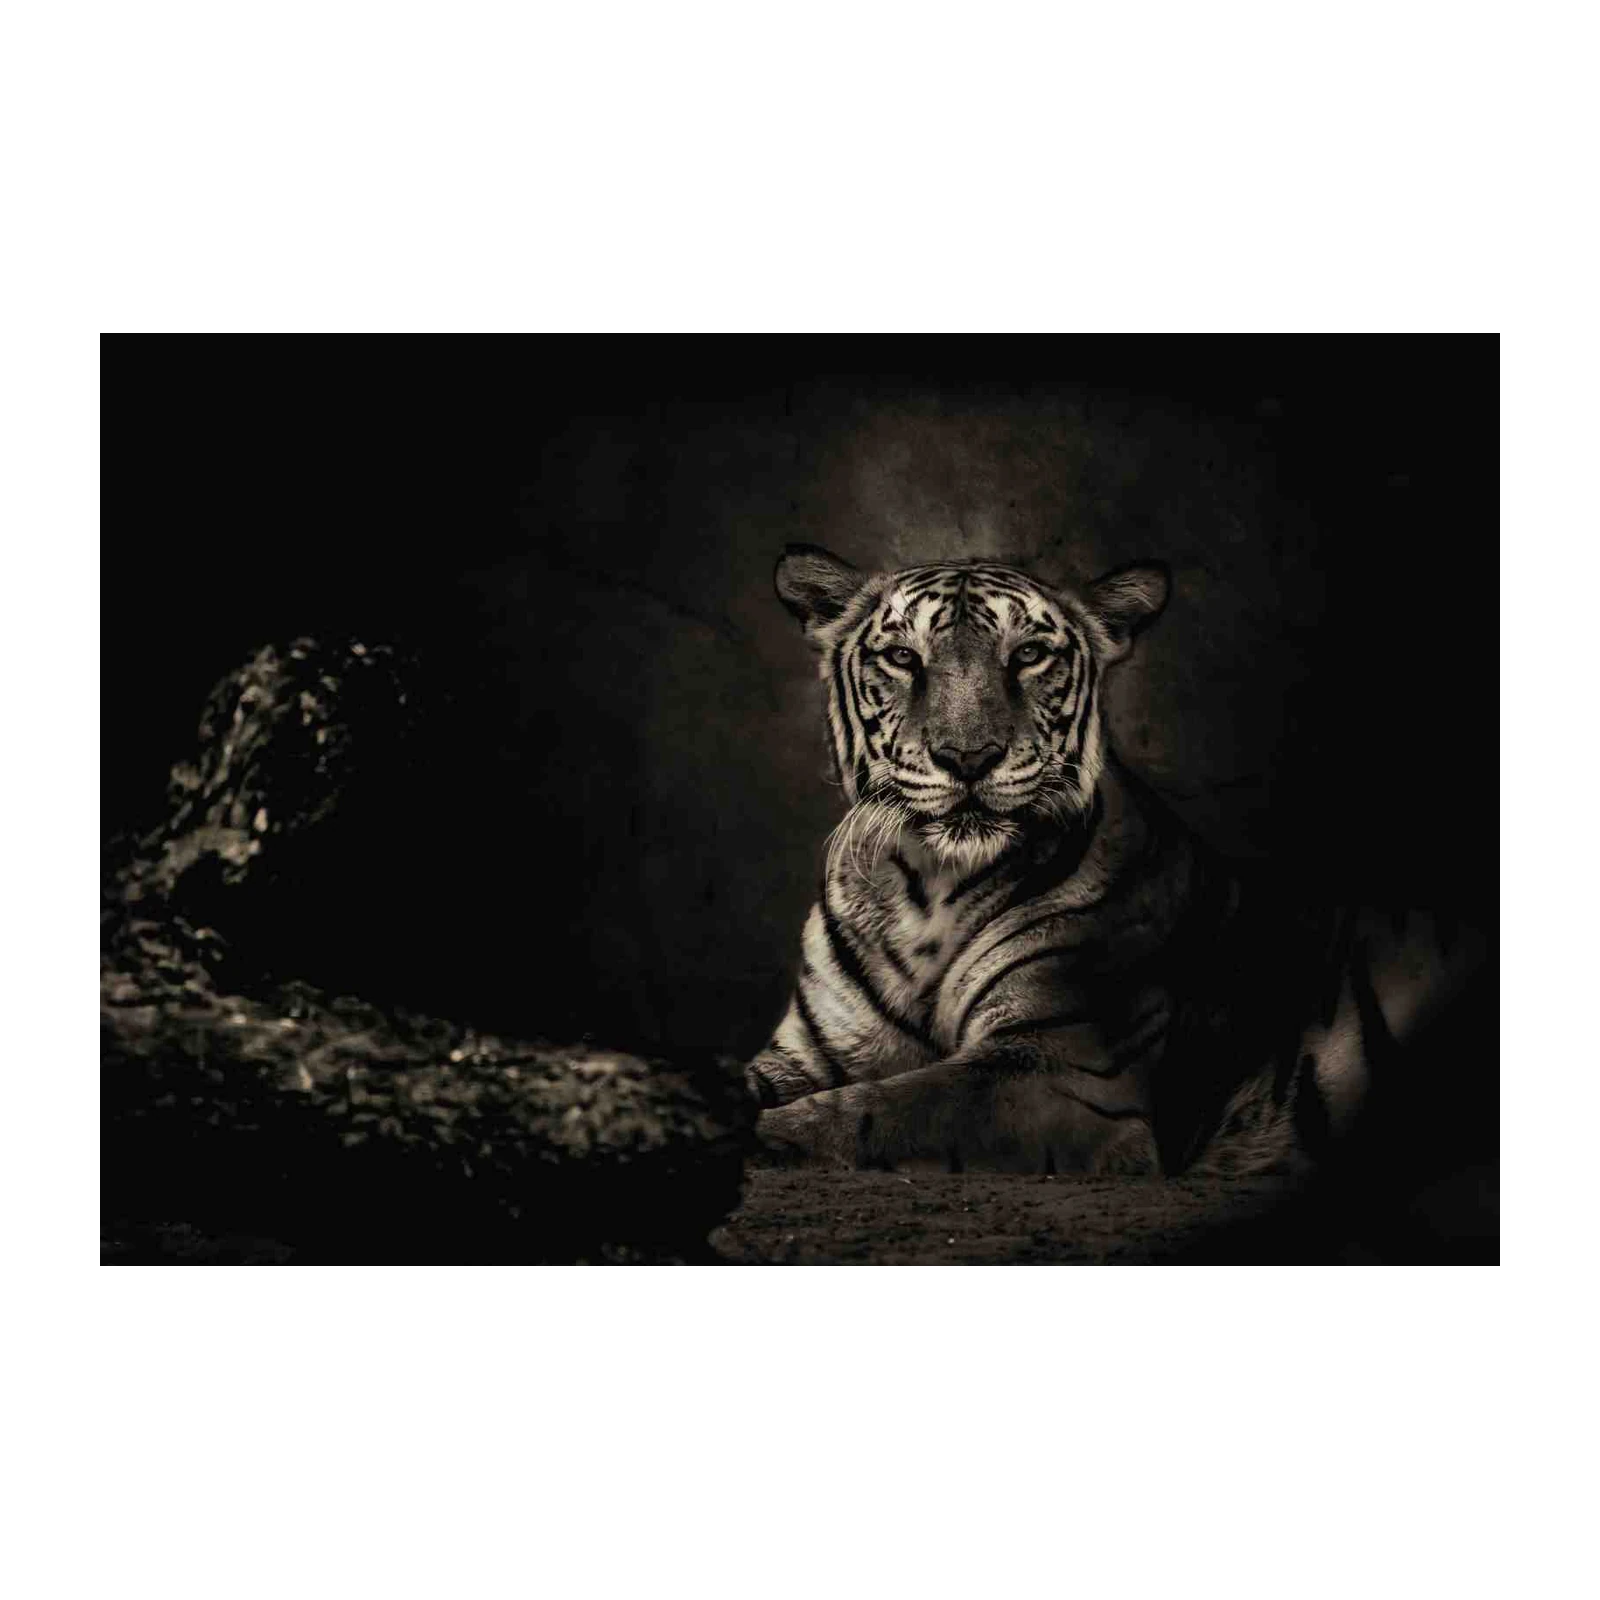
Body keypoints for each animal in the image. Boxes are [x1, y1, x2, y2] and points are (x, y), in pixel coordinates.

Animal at [747, 544, 1495, 1181]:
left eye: (1029, 655)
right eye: (903, 657)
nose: (968, 756)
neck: (929, 888)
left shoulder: (1062, 1070)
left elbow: (881, 1109)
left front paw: (765, 1137)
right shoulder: (810, 1050)